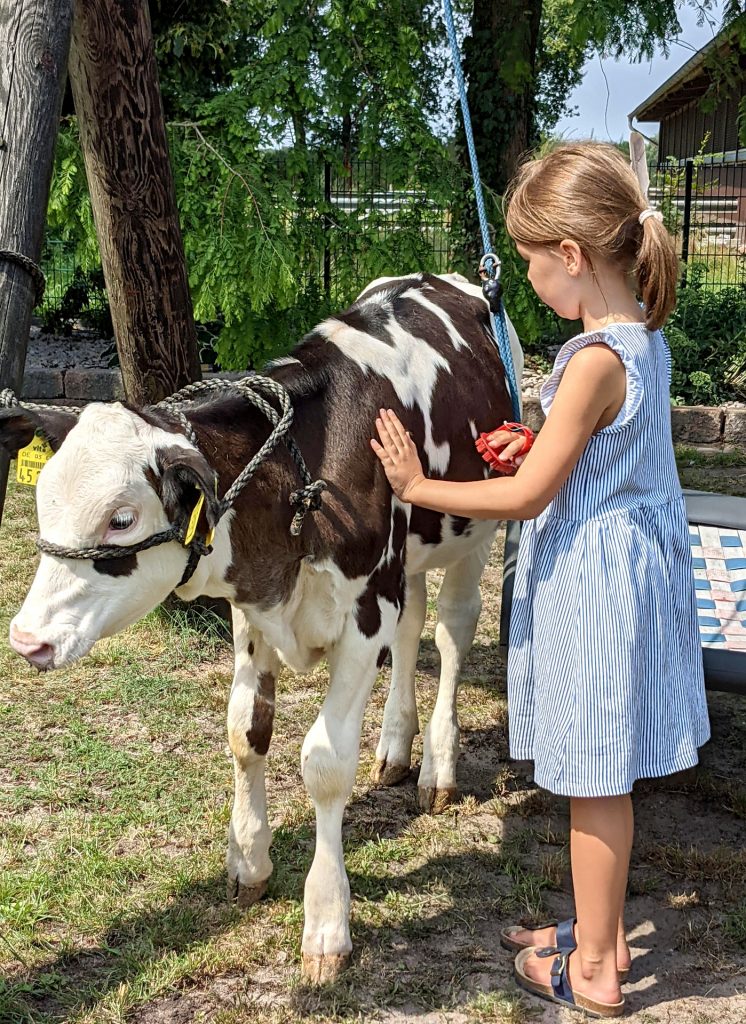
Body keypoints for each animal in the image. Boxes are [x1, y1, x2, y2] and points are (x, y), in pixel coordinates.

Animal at [2, 270, 521, 974]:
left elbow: (324, 764)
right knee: (413, 623)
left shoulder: (364, 612)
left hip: (477, 527)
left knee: (452, 630)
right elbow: (245, 732)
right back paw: (395, 744)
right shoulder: (255, 608)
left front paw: (326, 925)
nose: (27, 639)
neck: (304, 469)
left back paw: (437, 764)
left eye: (121, 518)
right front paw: (249, 862)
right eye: (43, 499)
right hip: (409, 555)